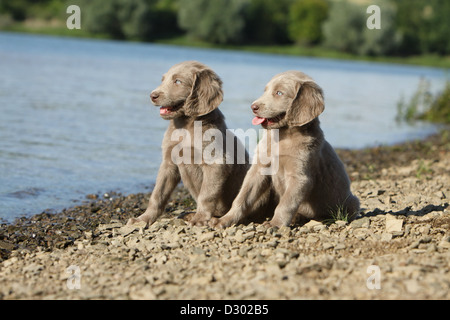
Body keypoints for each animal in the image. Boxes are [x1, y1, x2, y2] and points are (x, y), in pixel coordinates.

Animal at [127, 59, 250, 225]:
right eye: (163, 80)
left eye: (178, 81)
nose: (153, 95)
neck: (185, 127)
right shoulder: (168, 162)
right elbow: (157, 194)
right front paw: (143, 219)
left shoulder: (217, 162)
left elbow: (207, 194)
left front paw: (200, 218)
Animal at [210, 71, 358, 229]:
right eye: (265, 90)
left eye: (279, 93)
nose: (253, 106)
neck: (282, 136)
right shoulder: (258, 169)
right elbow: (242, 197)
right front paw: (225, 219)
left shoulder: (300, 177)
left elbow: (286, 203)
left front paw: (275, 224)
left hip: (352, 202)